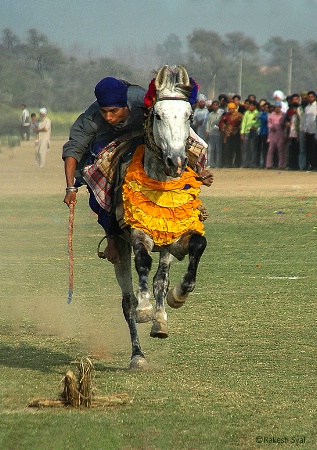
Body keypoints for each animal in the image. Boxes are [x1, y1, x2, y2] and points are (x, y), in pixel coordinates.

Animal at [111, 67, 207, 370]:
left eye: (189, 115)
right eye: (158, 115)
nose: (175, 161)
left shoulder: (175, 237)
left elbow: (198, 246)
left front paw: (179, 296)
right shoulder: (137, 232)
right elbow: (143, 261)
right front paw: (145, 310)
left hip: (166, 247)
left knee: (160, 280)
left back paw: (160, 322)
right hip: (118, 246)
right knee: (127, 299)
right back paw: (138, 354)